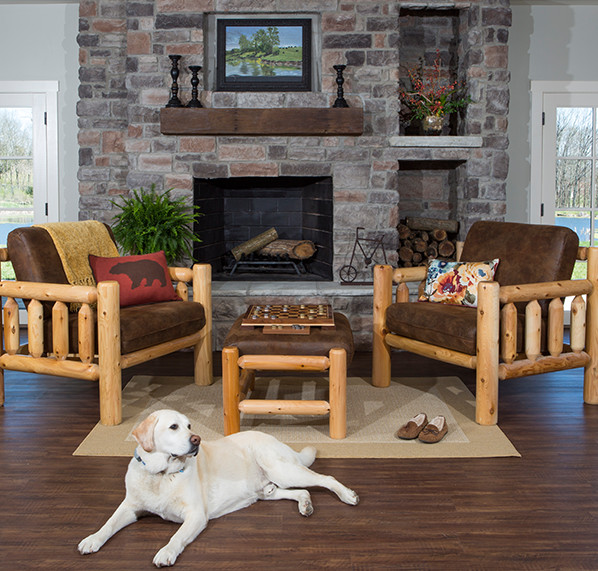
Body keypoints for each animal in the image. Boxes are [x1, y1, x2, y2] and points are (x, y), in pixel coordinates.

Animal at [79, 412, 360, 568]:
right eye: (173, 427)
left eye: (190, 426)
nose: (197, 440)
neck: (161, 475)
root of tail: (275, 438)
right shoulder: (130, 507)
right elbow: (109, 524)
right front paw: (92, 539)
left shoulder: (195, 515)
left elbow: (176, 537)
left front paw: (166, 552)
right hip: (267, 488)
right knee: (300, 491)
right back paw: (306, 505)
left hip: (282, 469)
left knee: (325, 478)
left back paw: (347, 495)